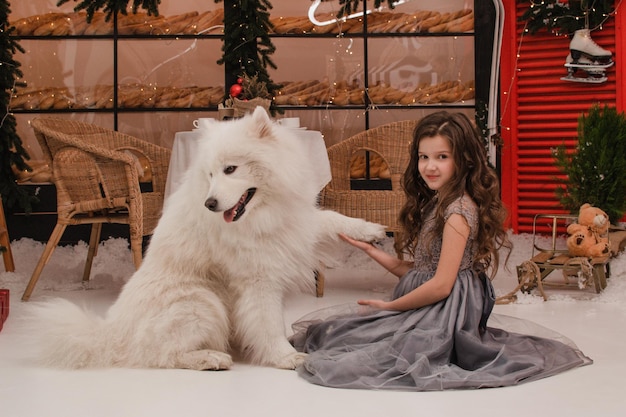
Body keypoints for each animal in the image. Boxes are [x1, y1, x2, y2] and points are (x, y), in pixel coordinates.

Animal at [28, 105, 386, 368]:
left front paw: (370, 232)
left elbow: (331, 220)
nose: (210, 203)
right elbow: (267, 321)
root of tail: (112, 335)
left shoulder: (296, 225)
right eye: (211, 174)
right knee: (160, 355)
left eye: (230, 169)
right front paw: (286, 357)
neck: (264, 212)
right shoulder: (257, 279)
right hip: (202, 302)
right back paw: (211, 358)